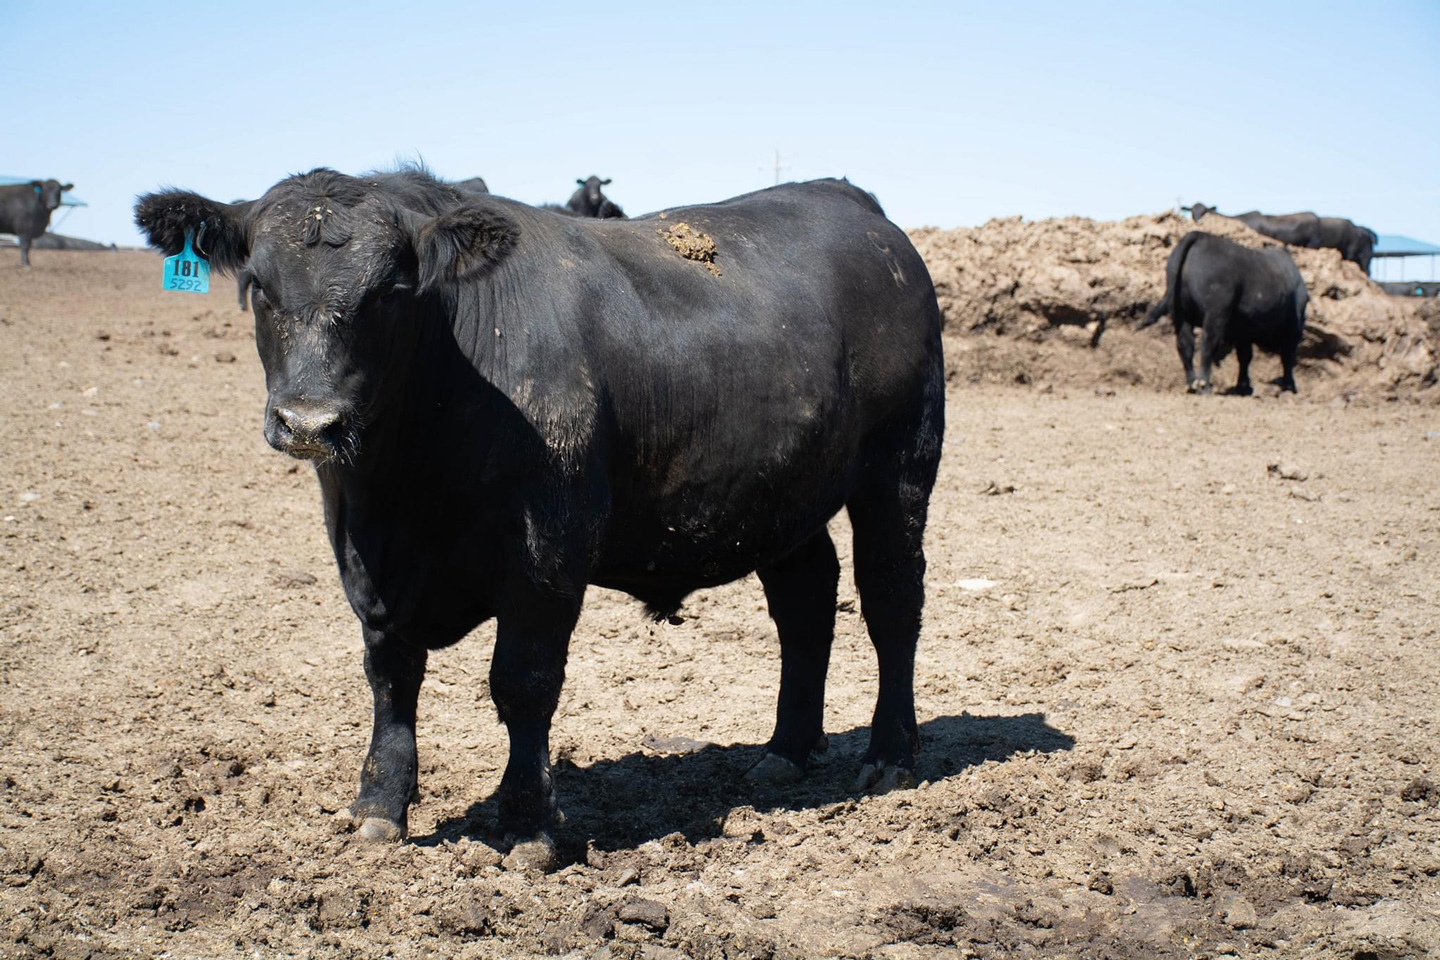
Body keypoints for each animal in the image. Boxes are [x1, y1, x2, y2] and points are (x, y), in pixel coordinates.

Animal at [1140, 231, 1313, 394]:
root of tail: (1200, 236)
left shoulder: (1243, 332)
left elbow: (1245, 357)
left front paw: (1243, 386)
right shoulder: (1293, 329)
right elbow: (1287, 357)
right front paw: (1289, 386)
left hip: (1181, 314)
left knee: (1186, 344)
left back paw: (1192, 384)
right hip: (1215, 314)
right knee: (1207, 344)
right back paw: (1204, 385)